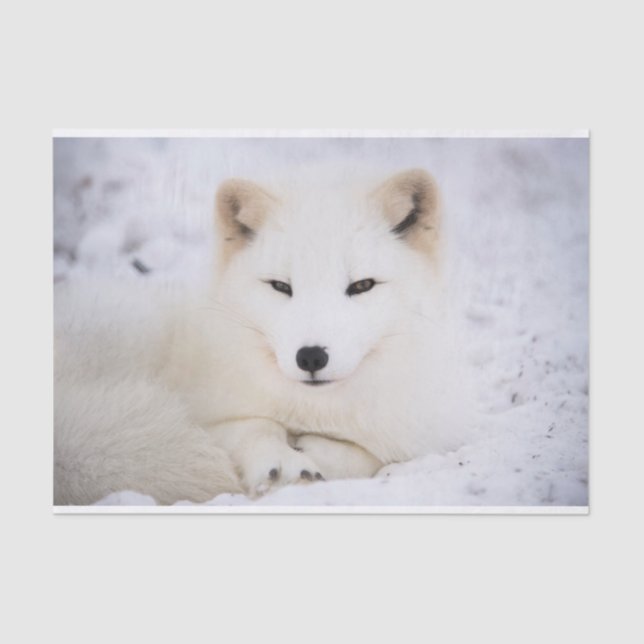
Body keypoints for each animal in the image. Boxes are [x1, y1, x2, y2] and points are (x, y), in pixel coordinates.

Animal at [54, 166, 471, 505]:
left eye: (362, 285)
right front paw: (282, 462)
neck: (313, 410)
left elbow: (369, 454)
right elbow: (252, 426)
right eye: (280, 286)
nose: (311, 356)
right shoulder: (210, 415)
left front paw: (318, 454)